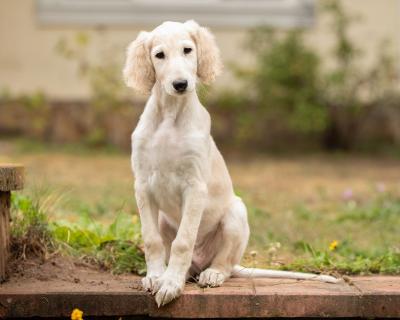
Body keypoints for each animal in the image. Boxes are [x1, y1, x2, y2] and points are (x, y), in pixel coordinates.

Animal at [122, 20, 338, 308]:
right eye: (159, 55)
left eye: (187, 50)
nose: (181, 84)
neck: (169, 116)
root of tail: (201, 264)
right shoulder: (143, 185)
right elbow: (151, 239)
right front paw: (156, 277)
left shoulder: (194, 186)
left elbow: (183, 241)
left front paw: (170, 284)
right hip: (165, 219)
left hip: (236, 213)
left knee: (223, 263)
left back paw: (211, 274)